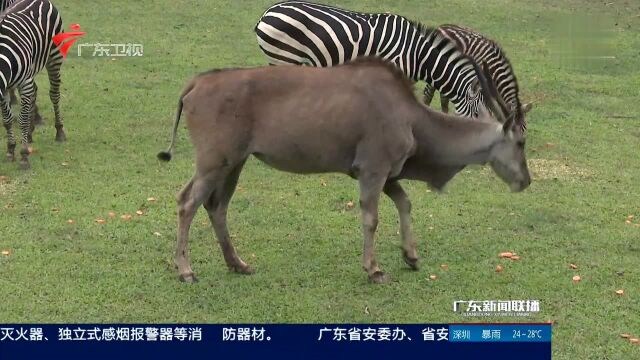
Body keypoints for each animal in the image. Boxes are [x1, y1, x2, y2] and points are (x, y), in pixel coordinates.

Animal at [0, 0, 65, 169]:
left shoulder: (24, 83)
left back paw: (59, 131)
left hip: (54, 57)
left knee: (54, 94)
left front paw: (24, 156)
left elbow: (21, 120)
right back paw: (29, 133)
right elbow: (7, 119)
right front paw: (10, 150)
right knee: (34, 92)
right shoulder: (3, 90)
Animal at [156, 45, 528, 284]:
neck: (411, 116)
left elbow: (405, 202)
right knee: (187, 202)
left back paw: (238, 264)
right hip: (214, 162)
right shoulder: (373, 170)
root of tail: (197, 83)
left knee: (216, 206)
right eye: (521, 142)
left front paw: (410, 256)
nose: (526, 180)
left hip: (233, 164)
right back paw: (186, 270)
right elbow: (371, 218)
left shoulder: (386, 174)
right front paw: (374, 269)